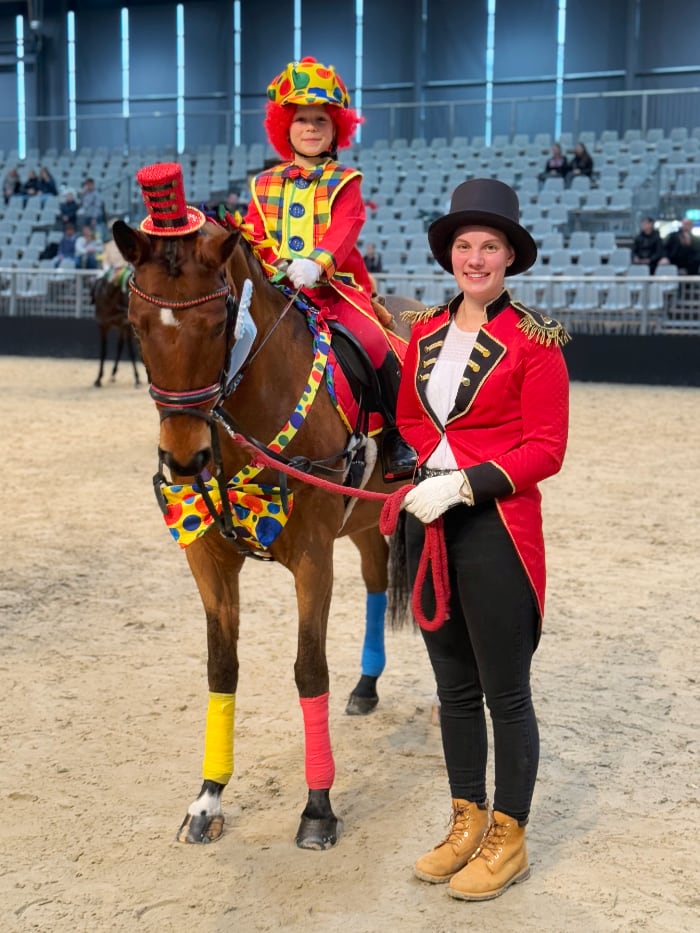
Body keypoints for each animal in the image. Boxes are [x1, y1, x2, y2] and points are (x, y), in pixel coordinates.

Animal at [112, 218, 418, 852]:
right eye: (136, 323)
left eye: (218, 323)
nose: (184, 460)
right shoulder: (208, 557)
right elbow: (221, 667)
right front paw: (207, 798)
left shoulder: (313, 558)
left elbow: (309, 669)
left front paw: (318, 807)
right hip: (362, 521)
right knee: (377, 579)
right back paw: (367, 685)